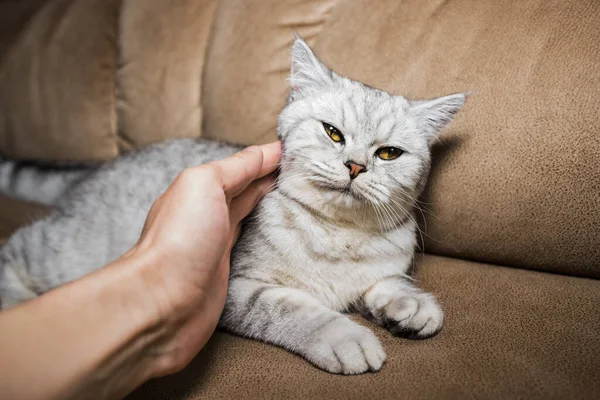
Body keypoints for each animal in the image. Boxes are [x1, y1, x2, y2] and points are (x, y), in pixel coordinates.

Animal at [0, 35, 468, 376]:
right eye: (333, 133)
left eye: (389, 154)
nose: (355, 166)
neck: (337, 234)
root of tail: (94, 170)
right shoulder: (239, 286)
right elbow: (292, 309)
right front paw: (343, 337)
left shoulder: (380, 268)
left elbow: (386, 283)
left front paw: (410, 305)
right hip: (66, 251)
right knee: (16, 248)